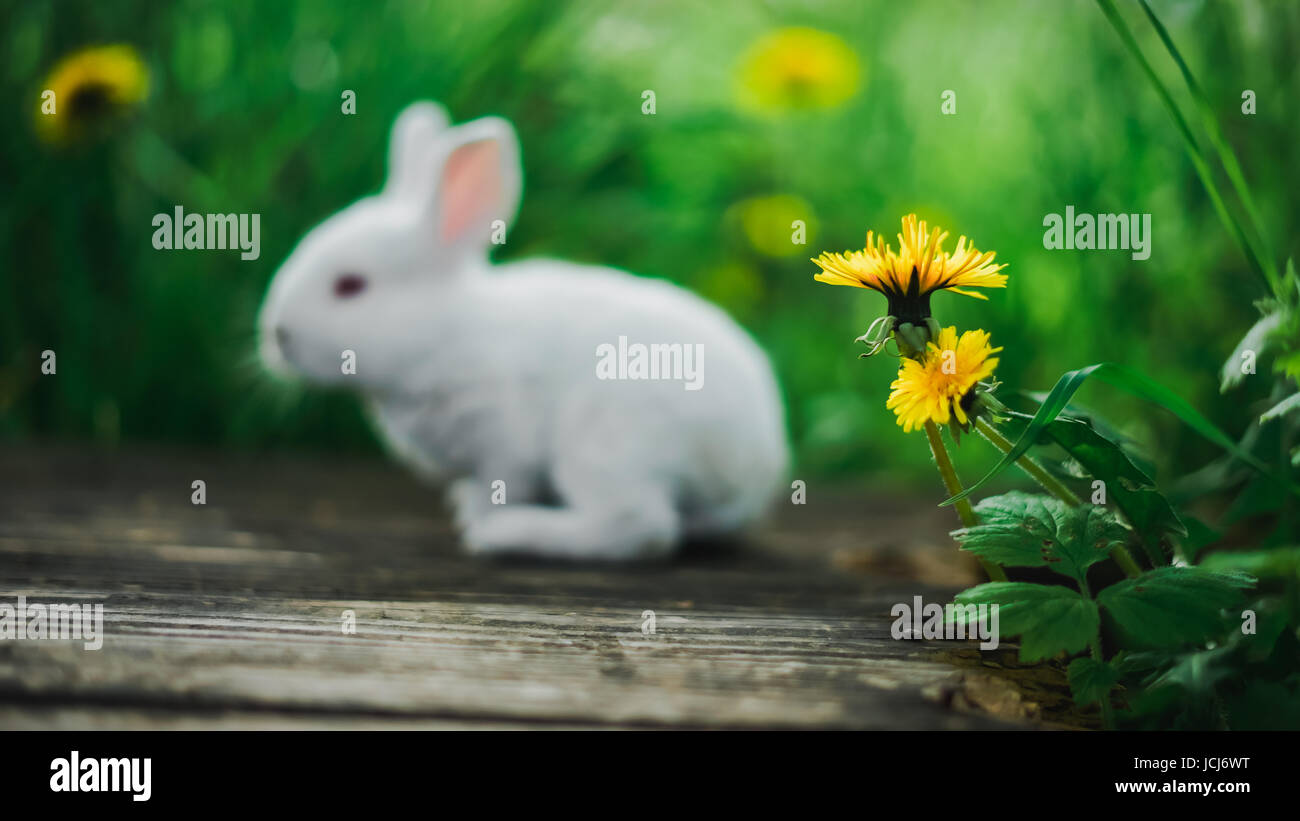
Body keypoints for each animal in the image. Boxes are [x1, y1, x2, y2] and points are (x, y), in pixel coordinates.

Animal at [257, 101, 785, 558]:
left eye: (350, 286)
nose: (278, 335)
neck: (445, 334)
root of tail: (760, 458)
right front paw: (462, 504)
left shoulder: (503, 440)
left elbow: (502, 485)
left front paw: (479, 517)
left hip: (604, 446)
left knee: (641, 528)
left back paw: (506, 535)